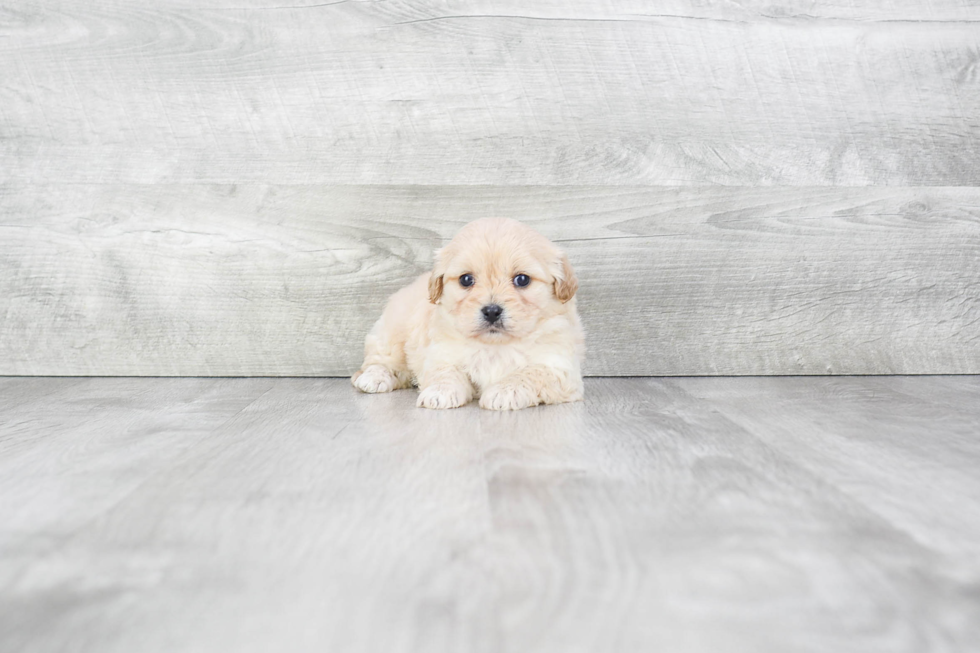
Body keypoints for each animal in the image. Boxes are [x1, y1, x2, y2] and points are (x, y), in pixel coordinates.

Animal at [352, 218, 580, 408]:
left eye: (522, 280)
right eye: (466, 280)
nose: (491, 311)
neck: (495, 345)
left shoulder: (559, 367)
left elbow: (531, 373)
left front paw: (504, 392)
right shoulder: (442, 353)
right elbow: (446, 372)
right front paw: (439, 392)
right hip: (392, 333)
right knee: (380, 360)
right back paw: (373, 378)